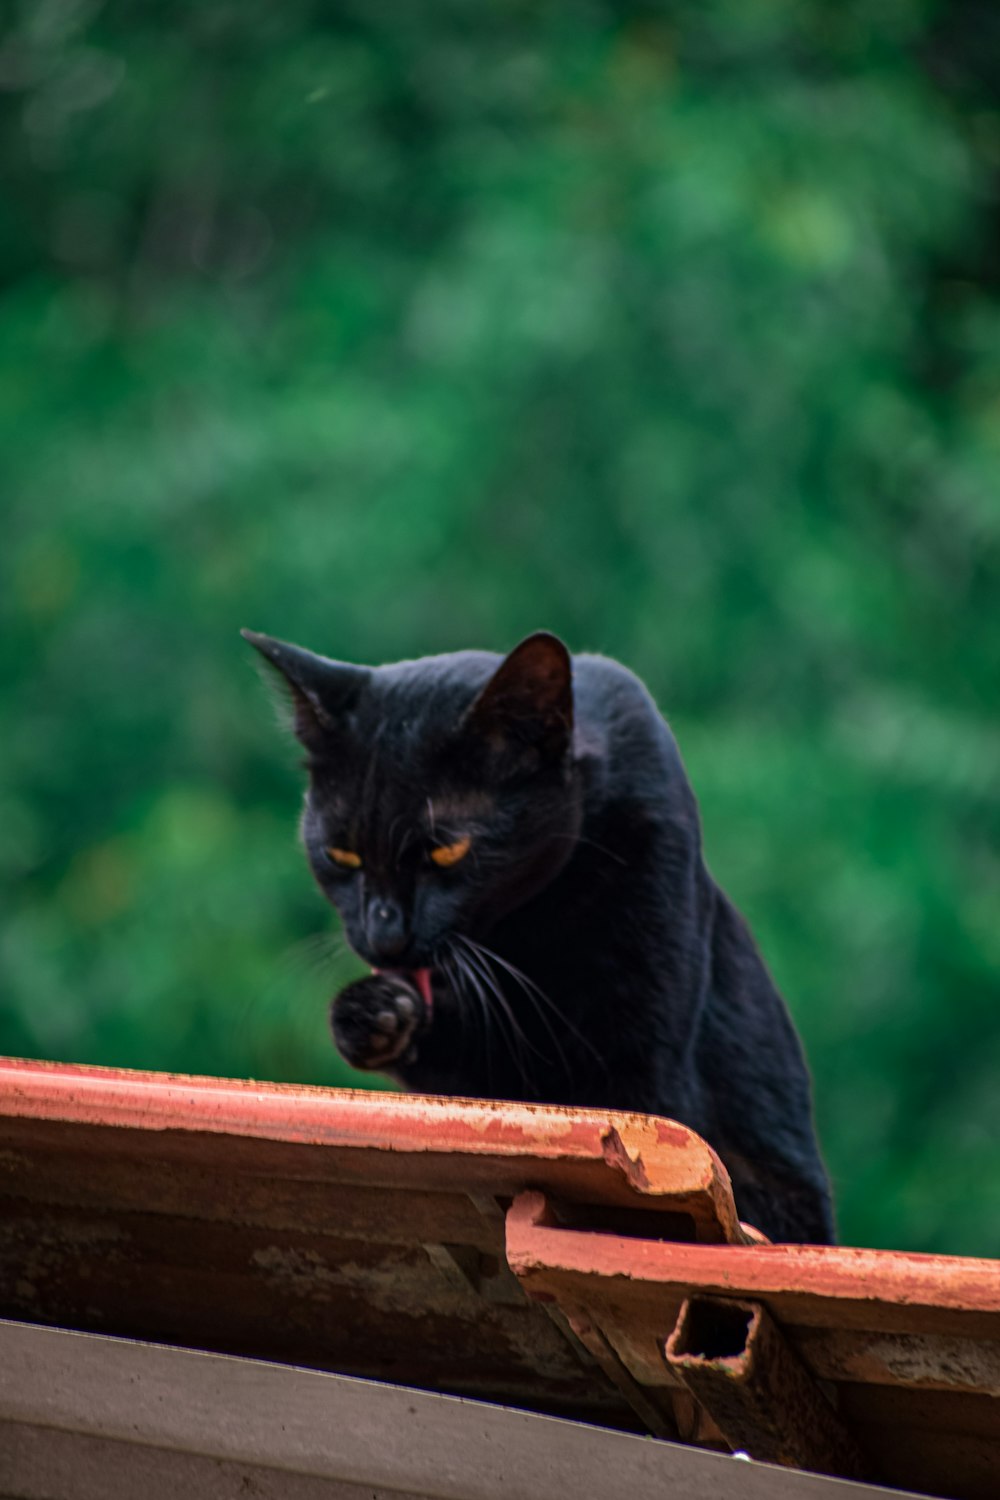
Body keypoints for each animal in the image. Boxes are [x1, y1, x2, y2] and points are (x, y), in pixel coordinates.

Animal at [244, 624, 839, 1242]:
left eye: (446, 851)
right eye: (342, 854)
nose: (383, 937)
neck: (526, 935)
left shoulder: (639, 1057)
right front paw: (374, 1014)